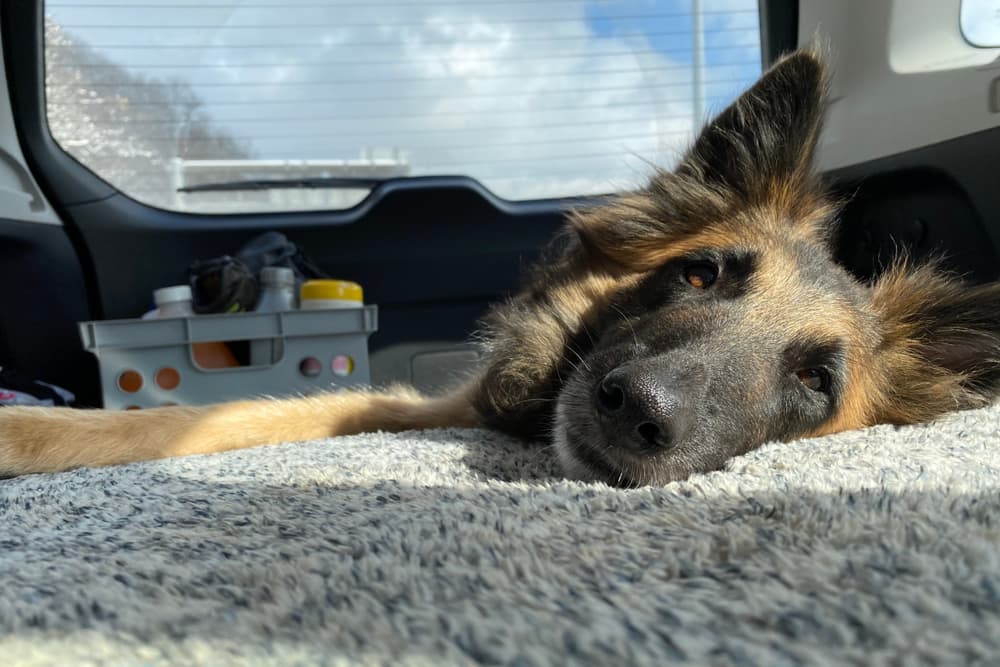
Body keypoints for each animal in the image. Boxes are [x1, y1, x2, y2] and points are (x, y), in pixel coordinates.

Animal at [1, 48, 1000, 486]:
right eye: (704, 274)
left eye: (816, 381)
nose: (638, 411)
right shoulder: (430, 401)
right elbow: (246, 409)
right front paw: (37, 430)